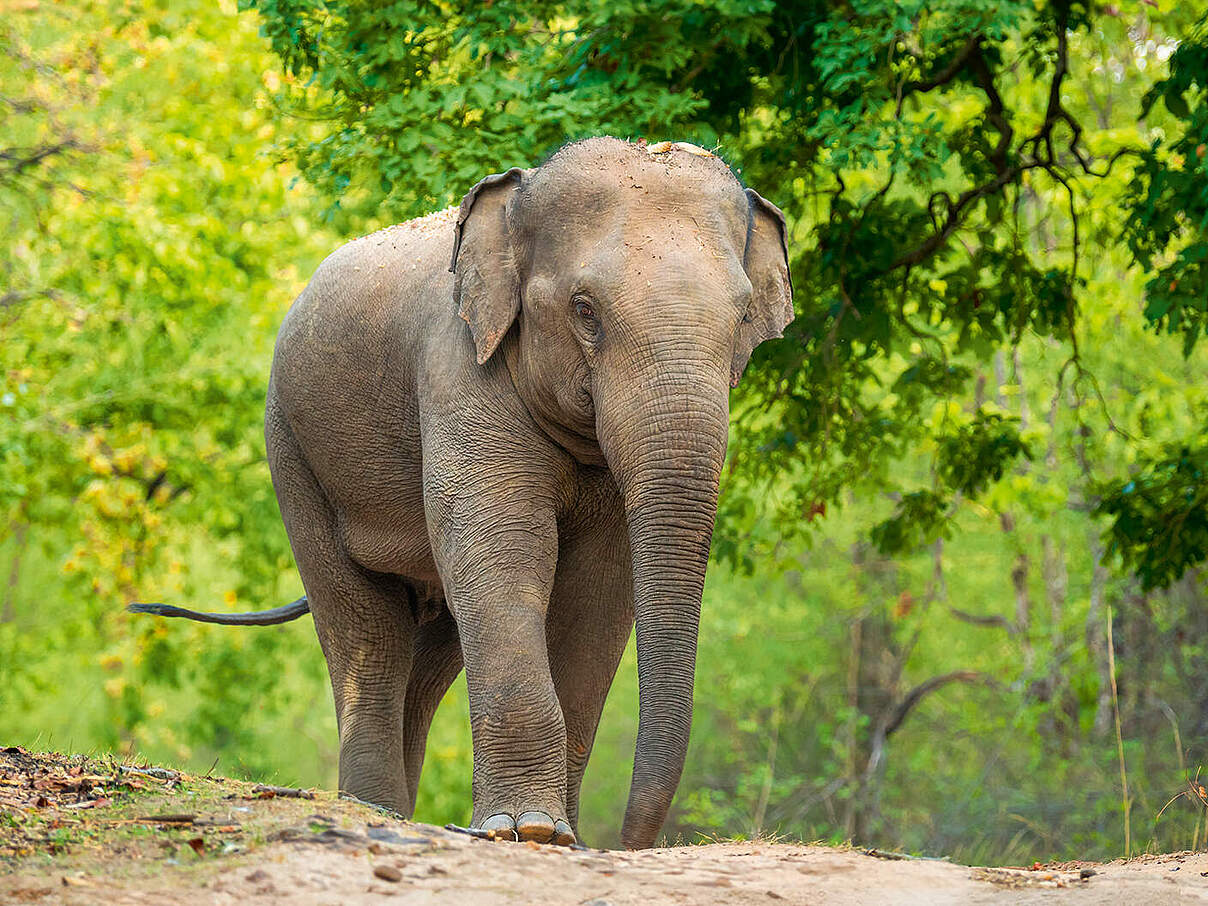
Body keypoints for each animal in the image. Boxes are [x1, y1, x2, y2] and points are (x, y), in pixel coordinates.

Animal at [130, 136, 793, 850]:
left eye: (744, 316)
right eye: (584, 310)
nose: (627, 842)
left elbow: (598, 588)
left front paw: (558, 836)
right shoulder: (457, 369)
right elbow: (502, 552)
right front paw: (528, 831)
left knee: (428, 653)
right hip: (292, 452)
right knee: (367, 632)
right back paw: (375, 810)